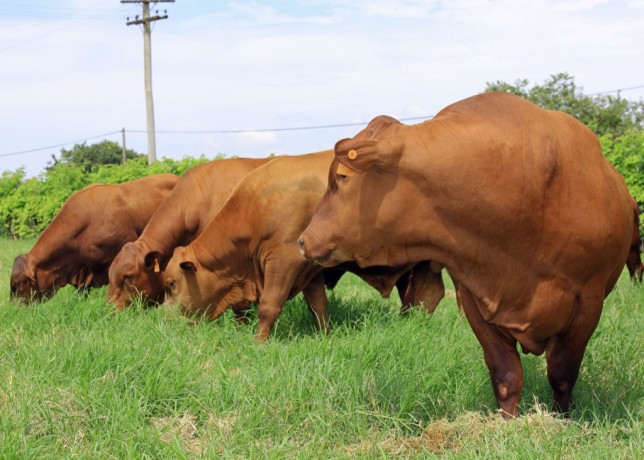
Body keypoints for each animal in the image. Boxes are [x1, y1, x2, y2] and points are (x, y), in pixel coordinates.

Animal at [161, 151, 442, 342]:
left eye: (171, 284)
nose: (163, 320)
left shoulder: (284, 261)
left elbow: (268, 306)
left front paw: (259, 342)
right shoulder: (309, 270)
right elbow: (318, 306)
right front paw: (325, 336)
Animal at [298, 90, 632, 416]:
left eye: (342, 177)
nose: (303, 239)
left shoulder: (588, 301)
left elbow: (562, 375)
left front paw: (561, 419)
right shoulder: (475, 299)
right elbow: (506, 376)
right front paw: (507, 422)